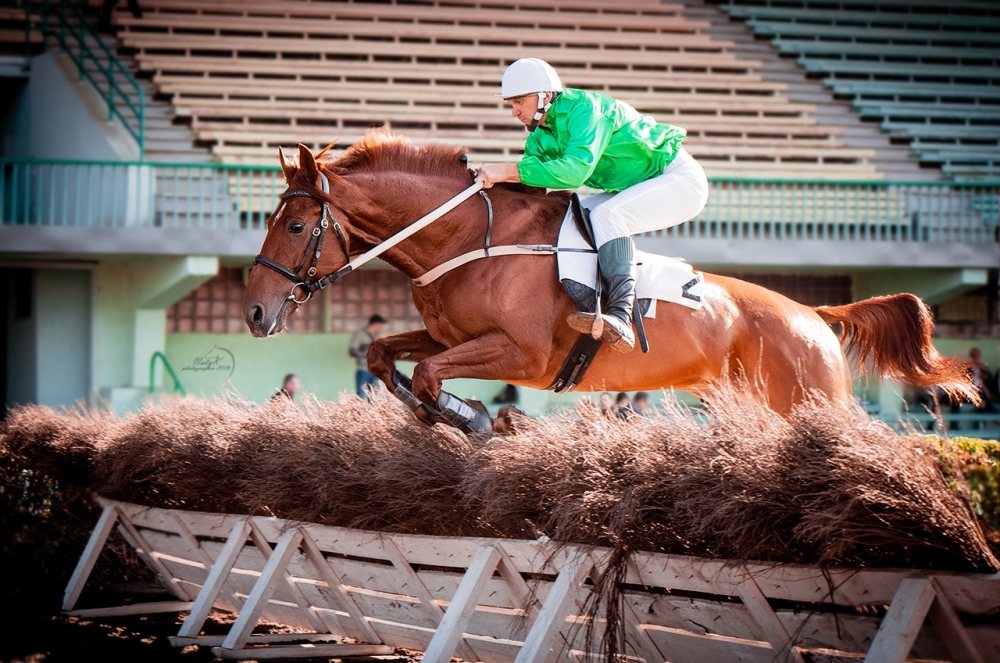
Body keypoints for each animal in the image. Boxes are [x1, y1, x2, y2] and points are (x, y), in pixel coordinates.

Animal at [244, 133, 976, 434]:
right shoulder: (449, 336)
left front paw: (479, 418)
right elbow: (384, 356)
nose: (253, 313)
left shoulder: (522, 354)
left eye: (296, 224)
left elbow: (427, 377)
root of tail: (813, 314)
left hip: (810, 398)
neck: (467, 239)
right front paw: (456, 415)